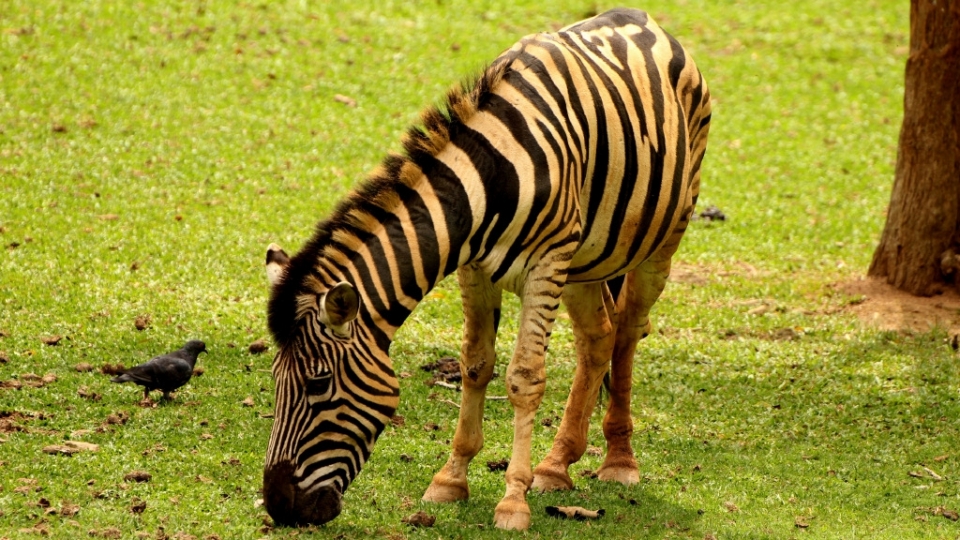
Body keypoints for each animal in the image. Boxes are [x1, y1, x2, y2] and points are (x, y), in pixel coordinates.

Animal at [262, 7, 712, 532]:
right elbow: (475, 366)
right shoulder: (474, 269)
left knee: (627, 334)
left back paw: (619, 460)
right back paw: (556, 465)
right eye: (276, 382)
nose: (279, 506)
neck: (488, 179)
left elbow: (524, 378)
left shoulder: (545, 266)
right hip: (585, 258)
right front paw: (451, 479)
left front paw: (513, 501)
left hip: (658, 243)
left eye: (318, 385)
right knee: (598, 337)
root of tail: (638, 16)